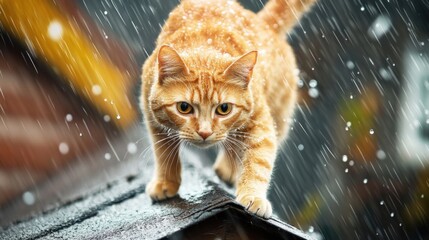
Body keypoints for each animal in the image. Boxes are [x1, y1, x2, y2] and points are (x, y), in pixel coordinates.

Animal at [140, 0, 314, 218]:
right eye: (184, 107)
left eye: (224, 109)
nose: (204, 132)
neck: (205, 50)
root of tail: (263, 23)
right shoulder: (151, 114)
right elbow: (163, 152)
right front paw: (166, 182)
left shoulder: (261, 124)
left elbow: (258, 161)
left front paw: (253, 195)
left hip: (278, 116)